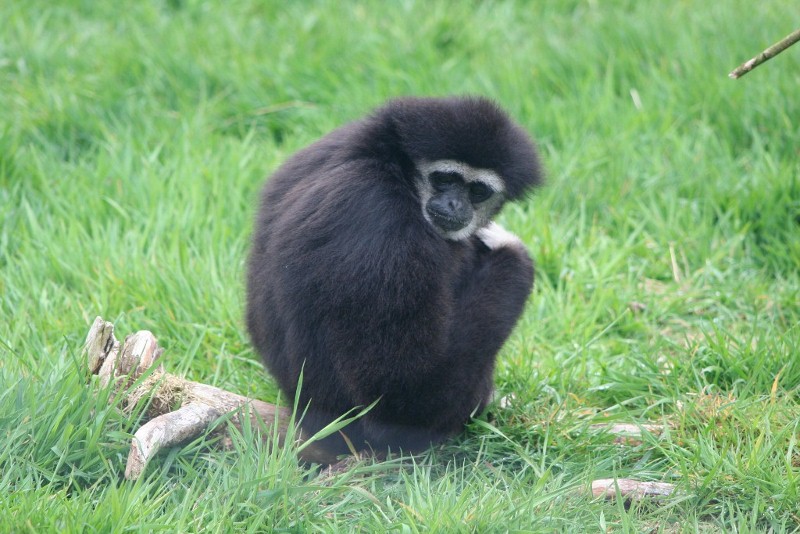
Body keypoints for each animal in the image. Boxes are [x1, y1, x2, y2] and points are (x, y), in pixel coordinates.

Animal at [246, 96, 542, 457]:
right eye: (444, 178)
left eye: (478, 191)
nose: (454, 204)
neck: (387, 163)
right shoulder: (382, 221)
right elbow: (402, 390)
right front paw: (513, 250)